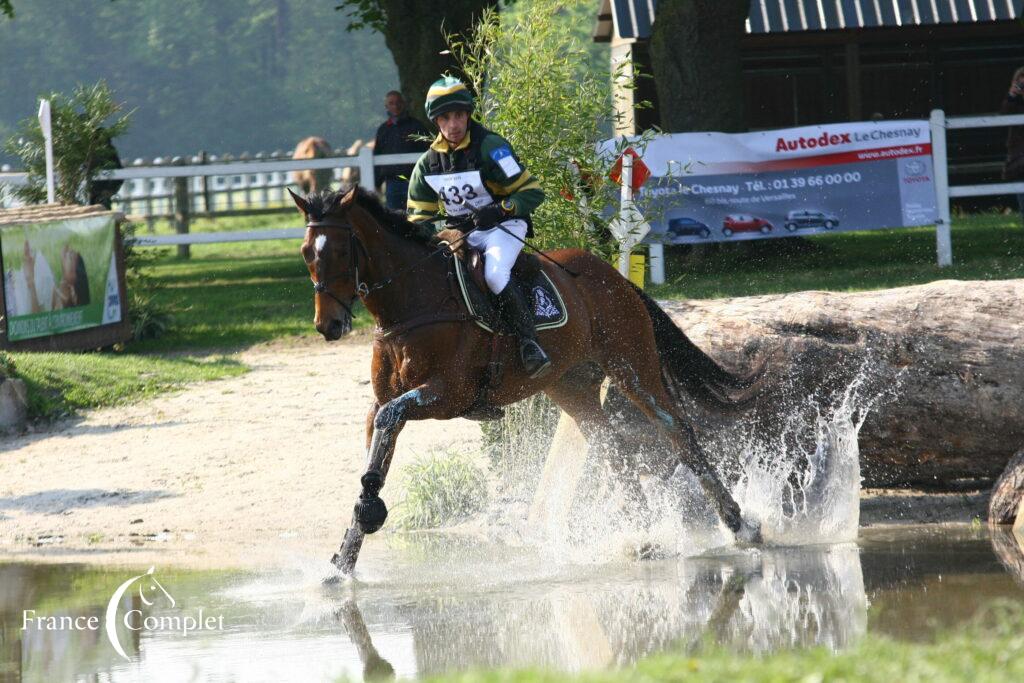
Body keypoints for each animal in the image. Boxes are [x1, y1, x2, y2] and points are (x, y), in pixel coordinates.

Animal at [292, 184, 765, 573]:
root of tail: (614, 276)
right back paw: (644, 537)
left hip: (632, 366)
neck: (410, 306)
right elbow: (378, 445)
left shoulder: (447, 395)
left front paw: (366, 514)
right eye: (305, 253)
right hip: (571, 386)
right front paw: (345, 557)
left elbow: (389, 423)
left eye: (339, 253)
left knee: (676, 431)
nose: (328, 326)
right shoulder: (382, 402)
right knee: (610, 448)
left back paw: (739, 526)